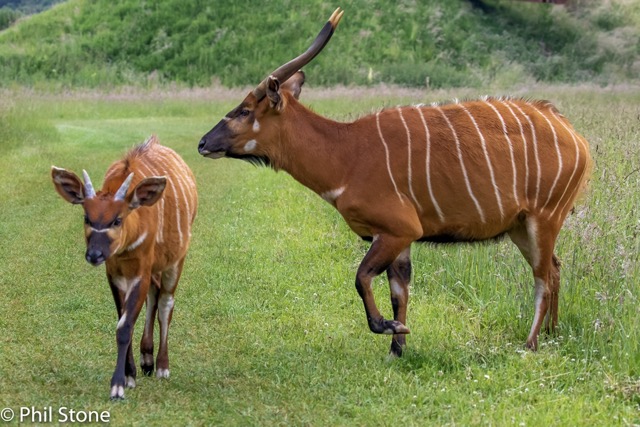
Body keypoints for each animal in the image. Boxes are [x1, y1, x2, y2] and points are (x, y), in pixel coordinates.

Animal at [51, 137, 196, 402]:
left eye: (117, 219)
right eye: (87, 218)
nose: (94, 255)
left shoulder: (141, 269)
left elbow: (125, 326)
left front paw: (117, 387)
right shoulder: (115, 273)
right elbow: (122, 320)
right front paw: (130, 376)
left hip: (176, 260)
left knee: (166, 301)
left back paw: (162, 367)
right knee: (154, 295)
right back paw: (147, 360)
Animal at [198, 9, 592, 358]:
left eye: (245, 110)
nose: (203, 143)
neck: (347, 154)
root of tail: (573, 133)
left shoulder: (398, 230)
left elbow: (361, 278)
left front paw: (389, 328)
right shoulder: (397, 238)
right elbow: (398, 291)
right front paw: (397, 349)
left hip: (544, 218)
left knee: (543, 277)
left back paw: (531, 344)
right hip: (520, 227)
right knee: (555, 268)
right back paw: (553, 334)